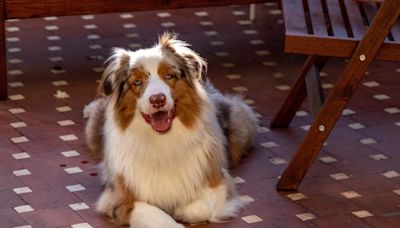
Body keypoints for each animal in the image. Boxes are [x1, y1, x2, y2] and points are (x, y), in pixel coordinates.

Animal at [85, 32, 260, 228]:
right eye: (137, 82)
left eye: (169, 76)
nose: (157, 99)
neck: (163, 140)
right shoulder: (119, 197)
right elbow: (157, 216)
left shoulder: (217, 180)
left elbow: (199, 208)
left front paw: (181, 211)